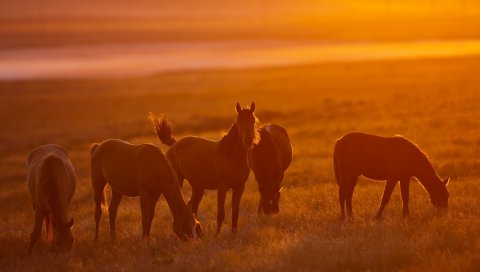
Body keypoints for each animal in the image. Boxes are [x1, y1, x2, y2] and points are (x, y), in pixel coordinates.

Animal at [152, 102, 260, 234]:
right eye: (238, 120)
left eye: (253, 120)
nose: (248, 140)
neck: (231, 156)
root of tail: (175, 144)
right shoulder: (222, 187)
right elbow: (221, 214)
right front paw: (217, 235)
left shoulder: (239, 187)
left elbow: (235, 213)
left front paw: (234, 234)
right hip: (179, 180)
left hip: (198, 187)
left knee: (192, 206)